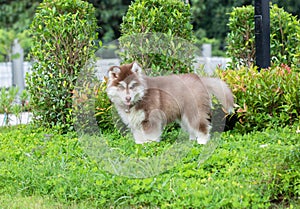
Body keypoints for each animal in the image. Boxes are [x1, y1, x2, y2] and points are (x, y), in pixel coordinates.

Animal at [106, 61, 234, 145]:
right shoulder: (136, 121)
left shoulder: (150, 119)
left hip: (194, 112)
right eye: (122, 87)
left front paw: (150, 145)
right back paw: (192, 140)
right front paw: (141, 145)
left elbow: (150, 136)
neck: (140, 97)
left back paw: (202, 141)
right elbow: (139, 137)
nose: (128, 98)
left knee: (203, 126)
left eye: (132, 86)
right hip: (184, 116)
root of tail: (199, 78)